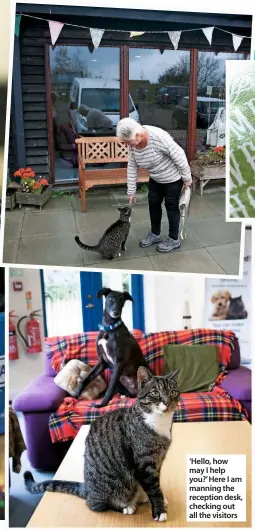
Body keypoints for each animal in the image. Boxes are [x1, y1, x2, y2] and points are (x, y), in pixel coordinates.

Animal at [23, 364, 179, 520]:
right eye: (155, 393)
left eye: (173, 392)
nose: (167, 402)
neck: (159, 422)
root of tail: (87, 489)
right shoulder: (144, 463)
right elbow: (153, 488)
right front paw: (159, 510)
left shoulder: (158, 460)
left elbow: (154, 483)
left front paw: (155, 499)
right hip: (110, 487)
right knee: (96, 505)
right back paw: (125, 506)